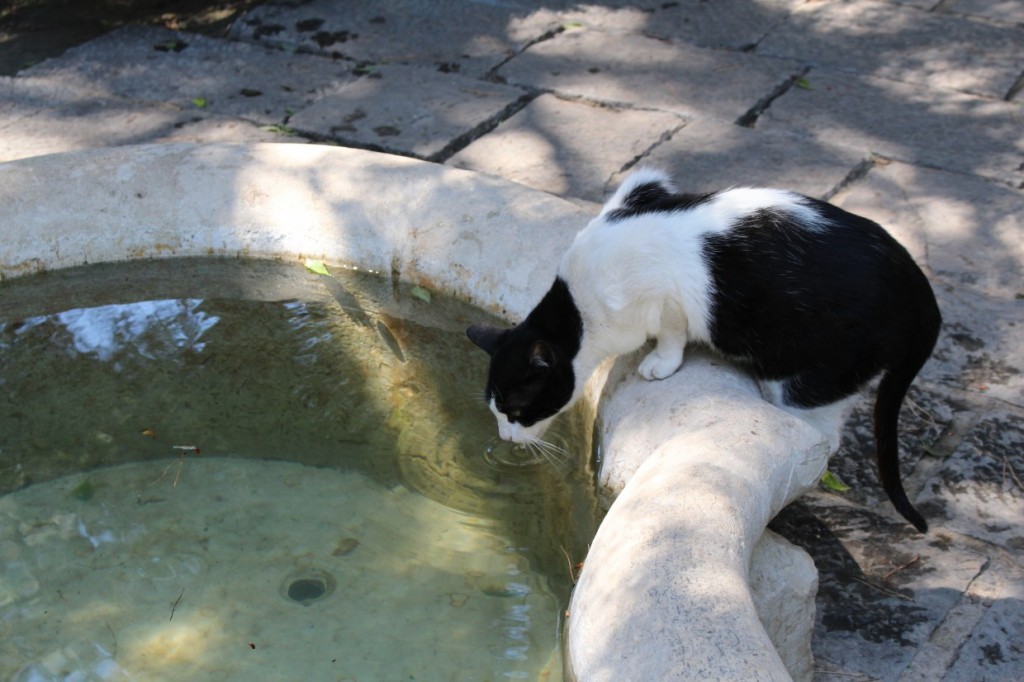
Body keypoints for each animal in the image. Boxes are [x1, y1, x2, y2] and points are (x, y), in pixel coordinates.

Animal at [468, 168, 937, 532]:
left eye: (518, 412)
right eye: (497, 412)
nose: (505, 437)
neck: (578, 312)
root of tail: (918, 291)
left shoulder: (665, 290)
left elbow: (673, 329)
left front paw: (660, 362)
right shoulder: (645, 184)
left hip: (805, 381)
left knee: (818, 443)